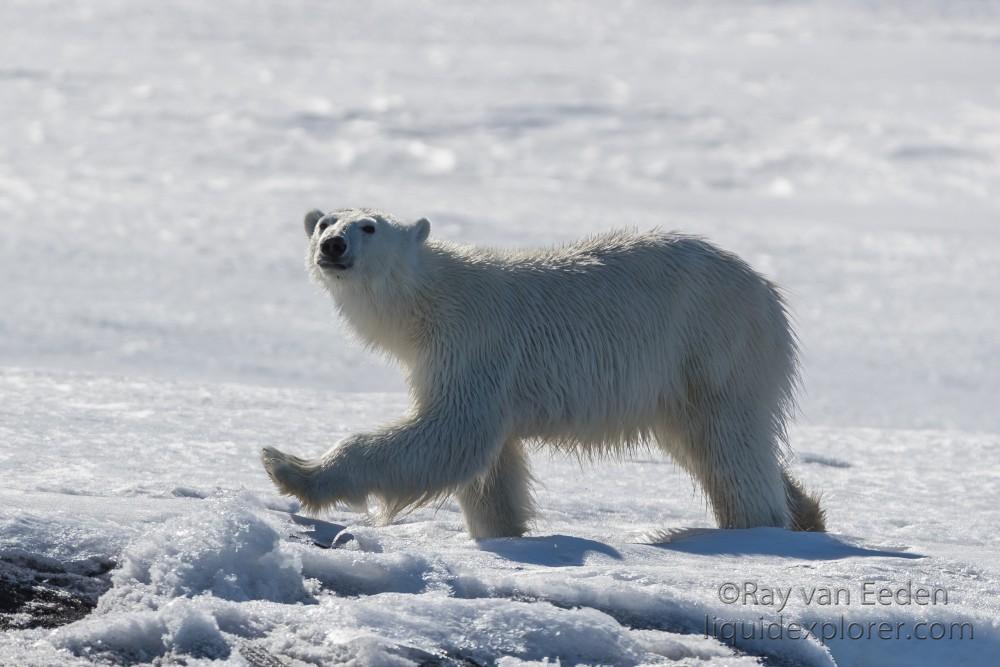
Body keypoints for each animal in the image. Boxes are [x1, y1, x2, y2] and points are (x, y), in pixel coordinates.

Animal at [262, 207, 824, 536]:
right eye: (324, 222)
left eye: (369, 226)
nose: (332, 245)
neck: (428, 302)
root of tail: (768, 292)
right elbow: (491, 468)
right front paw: (503, 533)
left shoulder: (473, 344)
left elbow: (450, 433)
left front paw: (290, 468)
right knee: (707, 443)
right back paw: (806, 513)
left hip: (711, 348)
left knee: (727, 446)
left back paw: (757, 527)